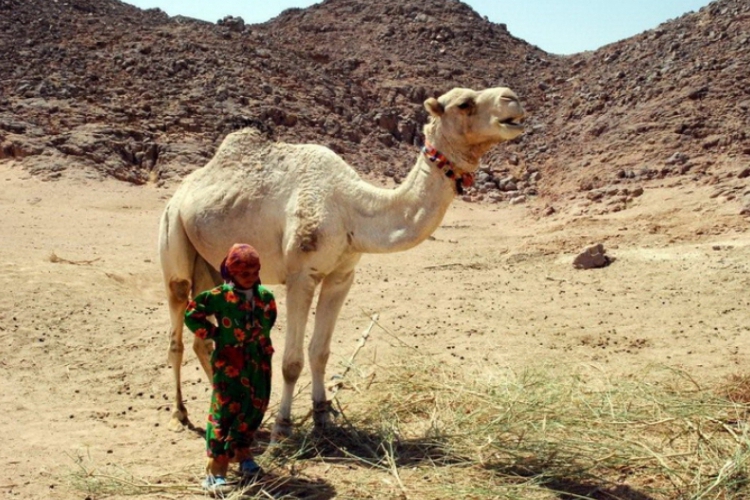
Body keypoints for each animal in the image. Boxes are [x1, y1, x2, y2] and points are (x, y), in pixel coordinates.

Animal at [160, 86, 524, 438]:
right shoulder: (301, 274)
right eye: (464, 103)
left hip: (211, 264)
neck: (351, 208)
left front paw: (323, 418)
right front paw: (283, 427)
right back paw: (180, 414)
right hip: (173, 230)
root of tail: (182, 191)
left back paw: (225, 404)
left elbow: (320, 352)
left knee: (204, 337)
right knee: (177, 325)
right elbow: (291, 361)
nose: (512, 99)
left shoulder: (341, 275)